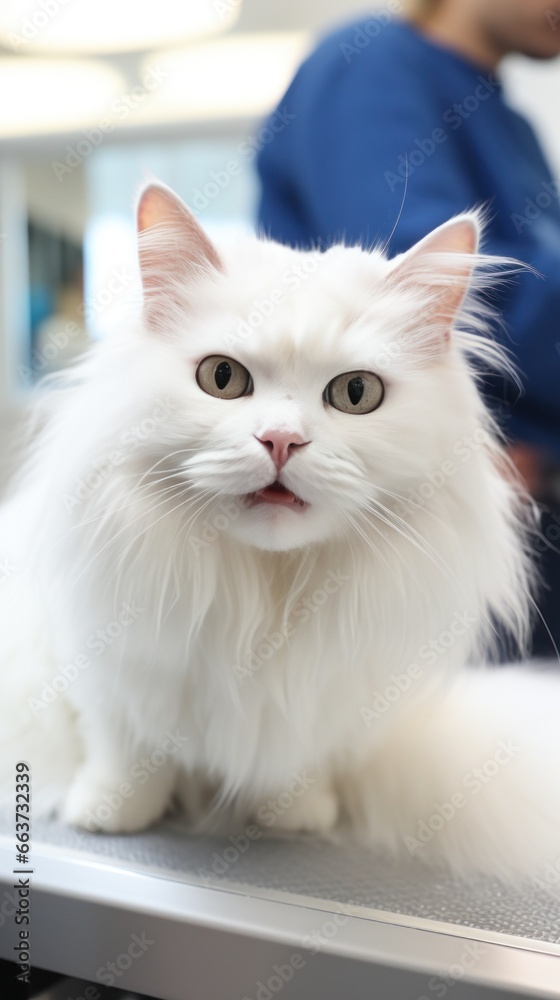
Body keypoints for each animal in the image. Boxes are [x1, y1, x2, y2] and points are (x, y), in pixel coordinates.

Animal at [0, 184, 556, 880]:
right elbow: (125, 751)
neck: (264, 599)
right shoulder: (101, 663)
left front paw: (297, 813)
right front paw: (108, 814)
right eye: (221, 378)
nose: (281, 440)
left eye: (355, 392)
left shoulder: (331, 699)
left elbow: (300, 763)